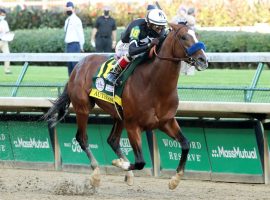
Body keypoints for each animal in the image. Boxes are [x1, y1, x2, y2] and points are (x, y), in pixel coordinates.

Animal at [43, 22, 209, 190]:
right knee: (82, 138)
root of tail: (78, 66)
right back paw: (96, 173)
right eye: (183, 37)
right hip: (83, 108)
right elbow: (140, 162)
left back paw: (127, 173)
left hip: (118, 115)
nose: (203, 59)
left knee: (112, 140)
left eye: (196, 35)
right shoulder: (133, 125)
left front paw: (175, 179)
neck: (153, 84)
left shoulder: (166, 122)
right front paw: (119, 163)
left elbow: (186, 144)